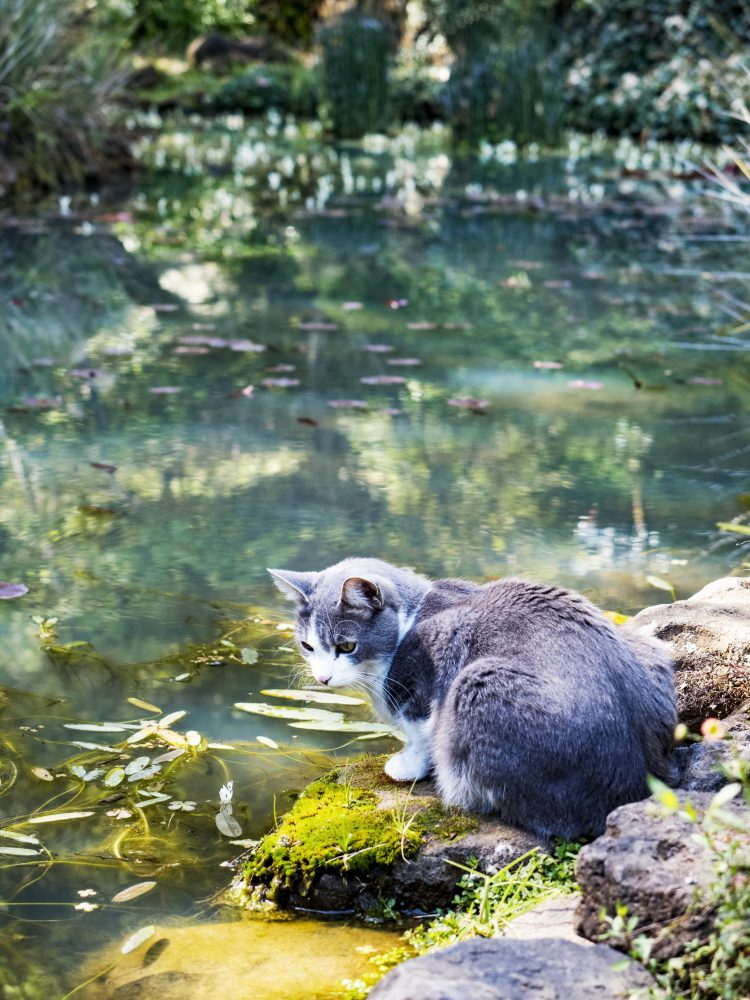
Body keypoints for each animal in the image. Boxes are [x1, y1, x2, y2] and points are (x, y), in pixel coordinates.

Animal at [268, 560, 676, 840]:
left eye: (346, 646)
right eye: (307, 646)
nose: (323, 676)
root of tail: (637, 786)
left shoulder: (437, 659)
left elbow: (421, 733)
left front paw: (407, 765)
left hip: (477, 683)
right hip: (648, 645)